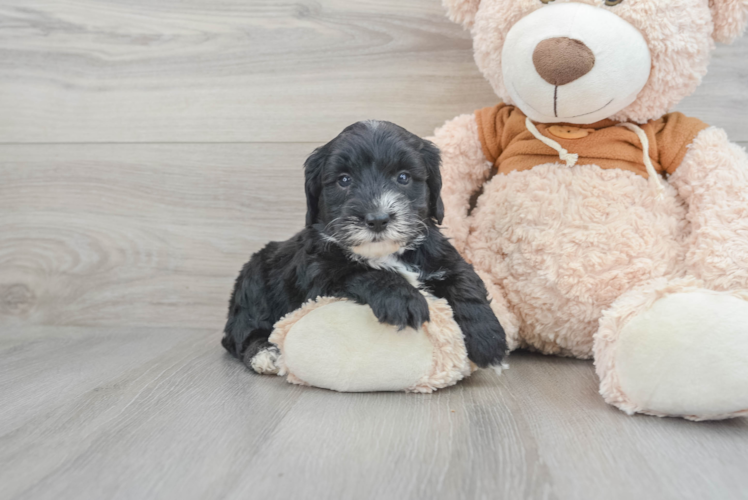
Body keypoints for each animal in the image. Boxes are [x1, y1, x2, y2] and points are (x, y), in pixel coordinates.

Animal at [219, 120, 506, 372]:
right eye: (344, 180)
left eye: (403, 177)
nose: (377, 219)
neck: (386, 253)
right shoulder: (317, 275)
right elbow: (361, 272)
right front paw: (404, 299)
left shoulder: (442, 257)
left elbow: (466, 282)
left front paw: (489, 340)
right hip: (253, 281)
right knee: (240, 332)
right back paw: (264, 354)